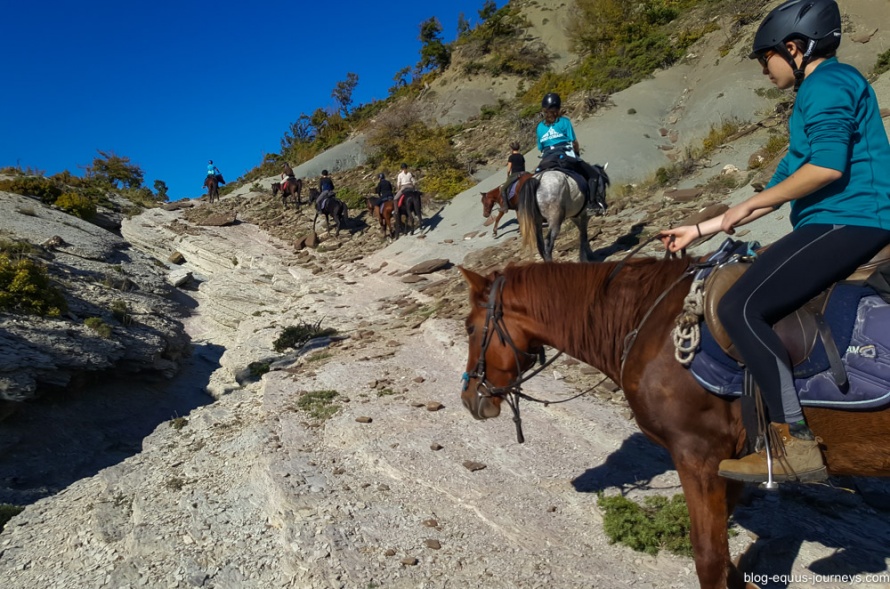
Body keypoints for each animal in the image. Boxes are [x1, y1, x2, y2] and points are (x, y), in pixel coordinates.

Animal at [458, 260, 888, 588]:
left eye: (469, 326)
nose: (469, 398)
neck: (654, 332)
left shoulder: (698, 456)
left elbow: (709, 559)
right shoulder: (733, 462)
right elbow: (723, 557)